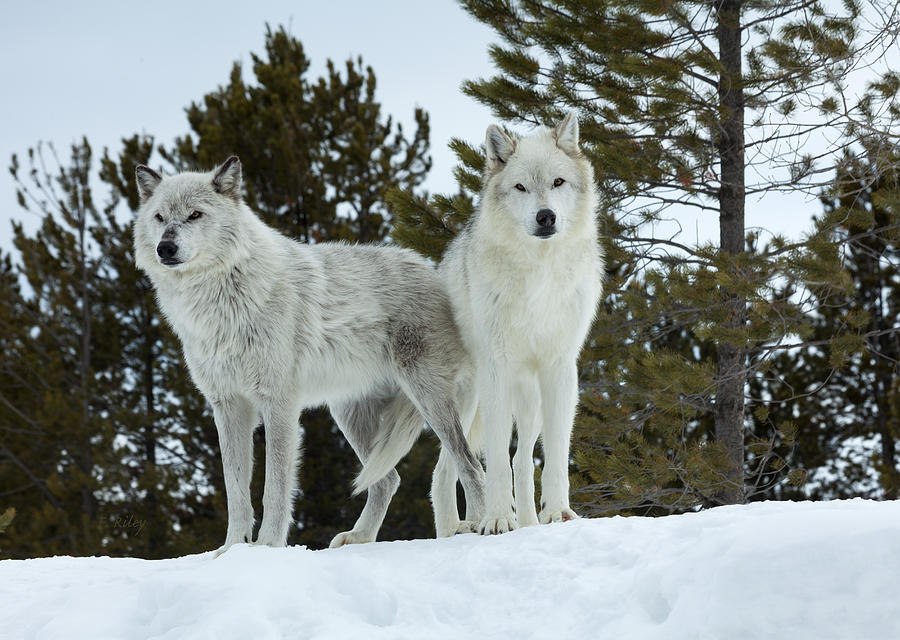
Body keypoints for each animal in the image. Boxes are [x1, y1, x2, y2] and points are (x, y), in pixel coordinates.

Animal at [132, 158, 486, 552]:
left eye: (195, 215)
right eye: (160, 217)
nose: (165, 247)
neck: (220, 301)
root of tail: (442, 277)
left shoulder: (279, 404)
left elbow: (274, 488)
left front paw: (267, 547)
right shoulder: (228, 406)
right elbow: (235, 491)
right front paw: (231, 550)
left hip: (429, 399)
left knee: (472, 467)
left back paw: (478, 525)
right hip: (349, 414)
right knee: (388, 479)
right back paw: (360, 537)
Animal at [430, 112, 600, 536]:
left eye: (558, 182)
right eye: (521, 187)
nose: (546, 217)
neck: (538, 276)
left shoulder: (560, 370)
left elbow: (553, 455)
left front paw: (558, 514)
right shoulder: (497, 371)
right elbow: (491, 462)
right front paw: (496, 519)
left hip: (529, 402)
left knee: (521, 461)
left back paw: (527, 522)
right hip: (467, 401)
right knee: (445, 470)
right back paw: (455, 530)